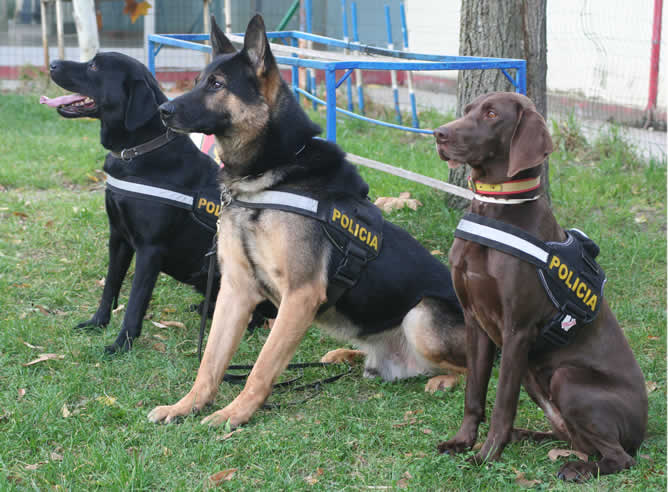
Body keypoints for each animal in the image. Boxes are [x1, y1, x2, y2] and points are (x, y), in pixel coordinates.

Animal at [149, 17, 468, 428]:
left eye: (217, 84)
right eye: (197, 80)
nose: (162, 110)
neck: (268, 177)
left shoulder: (300, 294)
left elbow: (262, 367)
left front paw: (234, 413)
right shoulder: (236, 290)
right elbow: (210, 362)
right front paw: (186, 405)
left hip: (422, 315)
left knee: (475, 367)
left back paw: (445, 379)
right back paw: (346, 356)